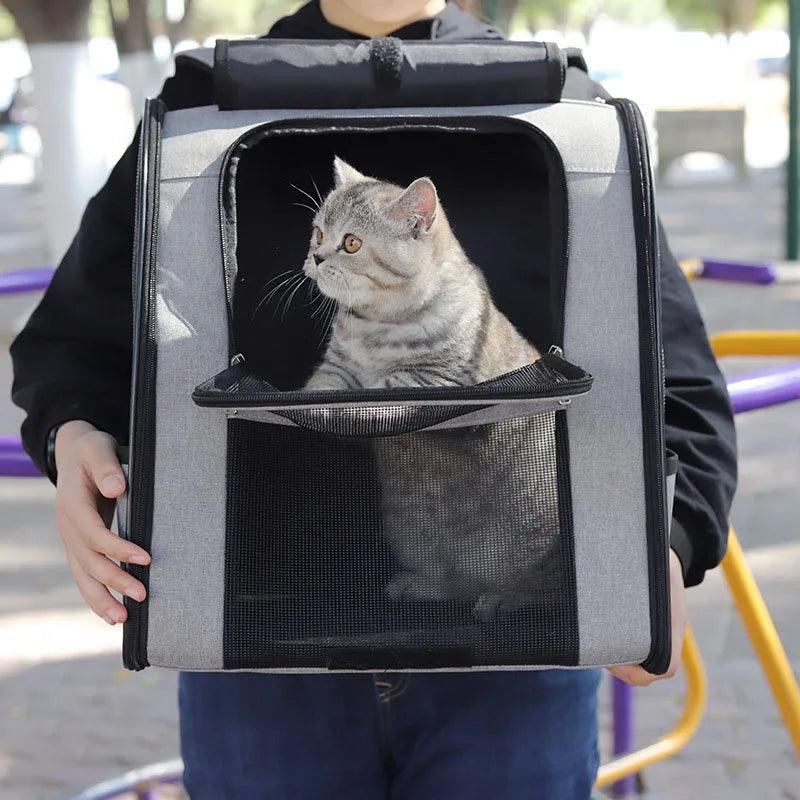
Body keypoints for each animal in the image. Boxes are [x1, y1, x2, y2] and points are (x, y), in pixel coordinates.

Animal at [304, 155, 560, 620]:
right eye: (318, 233)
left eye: (350, 243)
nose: (315, 256)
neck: (374, 325)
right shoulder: (338, 368)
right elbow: (320, 385)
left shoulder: (436, 377)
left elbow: (386, 385)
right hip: (414, 533)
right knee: (456, 580)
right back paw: (423, 584)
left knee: (540, 583)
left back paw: (504, 597)